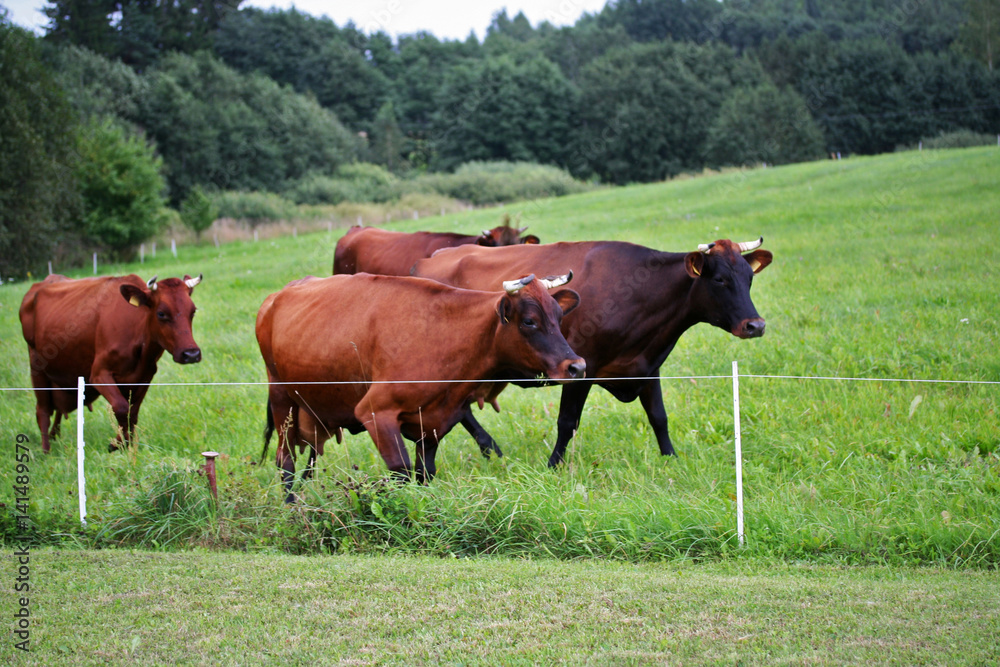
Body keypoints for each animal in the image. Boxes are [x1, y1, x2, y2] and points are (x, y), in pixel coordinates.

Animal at [19, 272, 203, 454]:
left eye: (193, 311)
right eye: (161, 313)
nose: (191, 354)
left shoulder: (145, 375)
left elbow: (132, 413)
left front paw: (125, 444)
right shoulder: (99, 374)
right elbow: (122, 408)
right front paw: (118, 444)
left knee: (57, 409)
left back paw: (53, 437)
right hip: (37, 365)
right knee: (43, 411)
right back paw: (46, 451)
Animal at [256, 272, 584, 500]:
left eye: (558, 316)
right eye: (529, 321)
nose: (577, 366)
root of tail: (276, 296)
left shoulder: (434, 423)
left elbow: (424, 473)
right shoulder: (376, 412)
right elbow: (401, 471)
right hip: (282, 398)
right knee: (285, 461)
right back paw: (291, 507)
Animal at [414, 237, 772, 468]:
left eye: (750, 278)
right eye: (720, 279)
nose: (755, 325)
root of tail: (428, 260)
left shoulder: (647, 366)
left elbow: (659, 417)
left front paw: (672, 461)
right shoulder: (581, 366)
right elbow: (567, 421)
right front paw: (553, 467)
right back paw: (491, 448)